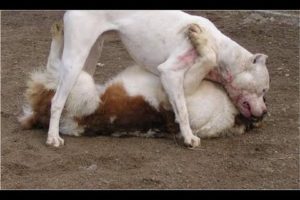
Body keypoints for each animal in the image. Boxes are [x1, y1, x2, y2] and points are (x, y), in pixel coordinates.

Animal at [42, 10, 270, 147]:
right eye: (264, 90)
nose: (265, 112)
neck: (220, 47)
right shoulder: (170, 74)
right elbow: (183, 111)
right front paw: (188, 137)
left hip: (90, 54)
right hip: (75, 60)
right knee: (57, 100)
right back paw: (53, 137)